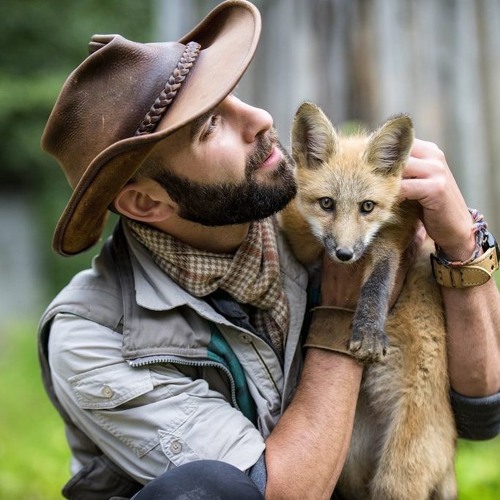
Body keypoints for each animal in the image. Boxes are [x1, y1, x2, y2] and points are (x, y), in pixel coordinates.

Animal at [280, 102, 458, 500]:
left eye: (367, 207)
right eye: (327, 203)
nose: (344, 255)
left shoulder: (394, 235)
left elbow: (379, 281)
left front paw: (369, 331)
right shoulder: (304, 241)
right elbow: (300, 230)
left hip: (397, 477)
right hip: (348, 467)